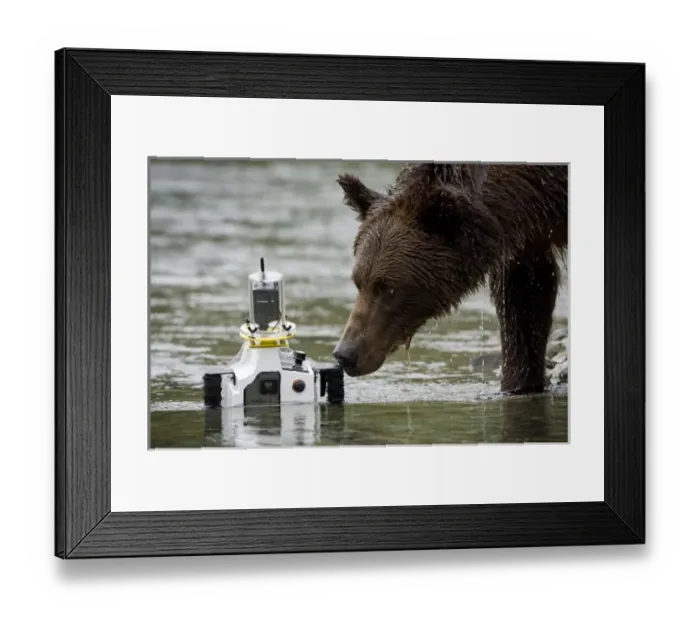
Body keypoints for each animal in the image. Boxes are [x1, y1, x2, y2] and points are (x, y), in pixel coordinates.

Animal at [331, 162, 568, 396]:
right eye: (358, 282)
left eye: (390, 288)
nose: (345, 354)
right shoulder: (527, 240)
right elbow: (525, 303)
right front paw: (519, 383)